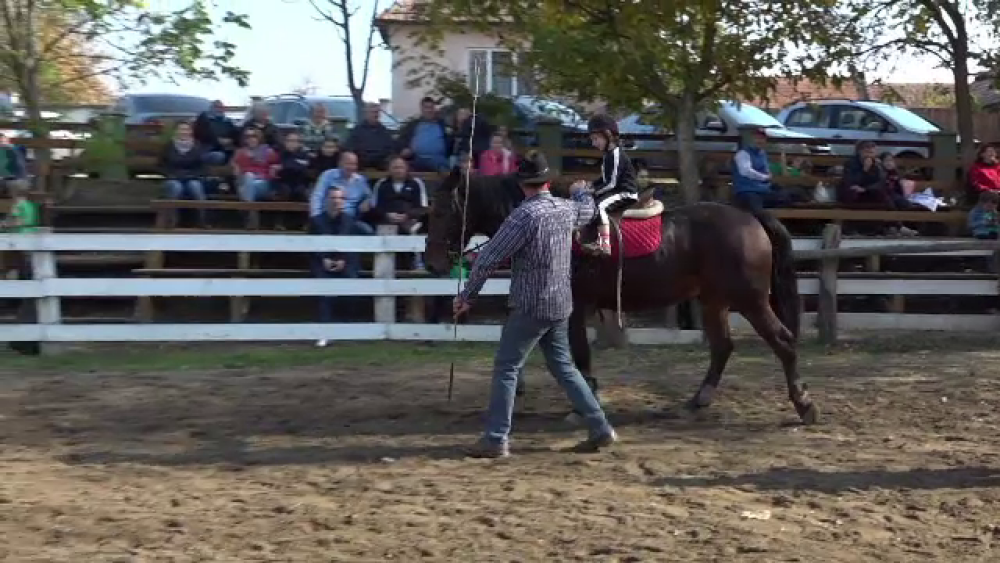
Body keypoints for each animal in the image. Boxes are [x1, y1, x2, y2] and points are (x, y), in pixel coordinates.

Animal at [422, 170, 820, 426]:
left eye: (441, 211)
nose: (430, 261)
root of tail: (748, 217)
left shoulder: (574, 308)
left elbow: (579, 353)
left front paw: (584, 400)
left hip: (750, 301)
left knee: (783, 341)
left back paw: (804, 404)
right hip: (713, 302)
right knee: (722, 347)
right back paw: (696, 402)